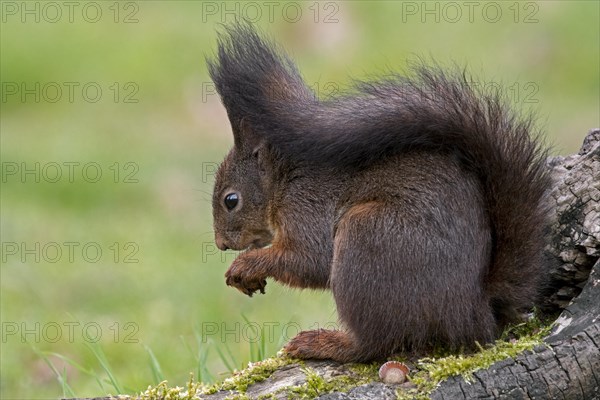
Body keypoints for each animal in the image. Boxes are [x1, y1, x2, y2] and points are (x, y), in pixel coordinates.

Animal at [205, 24, 548, 362]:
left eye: (231, 200)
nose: (221, 244)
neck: (285, 179)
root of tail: (474, 311)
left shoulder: (306, 207)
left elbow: (309, 260)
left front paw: (246, 266)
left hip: (367, 237)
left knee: (375, 344)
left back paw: (325, 343)